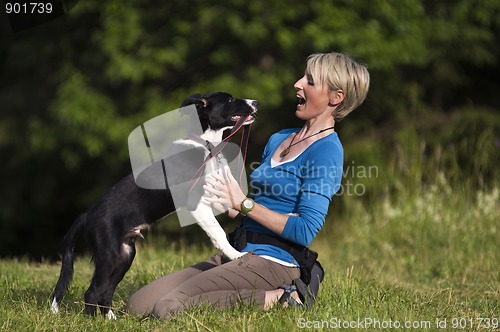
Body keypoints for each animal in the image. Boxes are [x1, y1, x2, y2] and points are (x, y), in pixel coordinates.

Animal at [50, 91, 258, 320]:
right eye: (229, 100)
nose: (255, 102)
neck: (205, 144)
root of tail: (88, 214)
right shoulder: (195, 204)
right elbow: (218, 232)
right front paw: (237, 255)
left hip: (125, 254)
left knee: (105, 291)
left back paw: (111, 320)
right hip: (109, 252)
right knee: (92, 291)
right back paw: (94, 320)